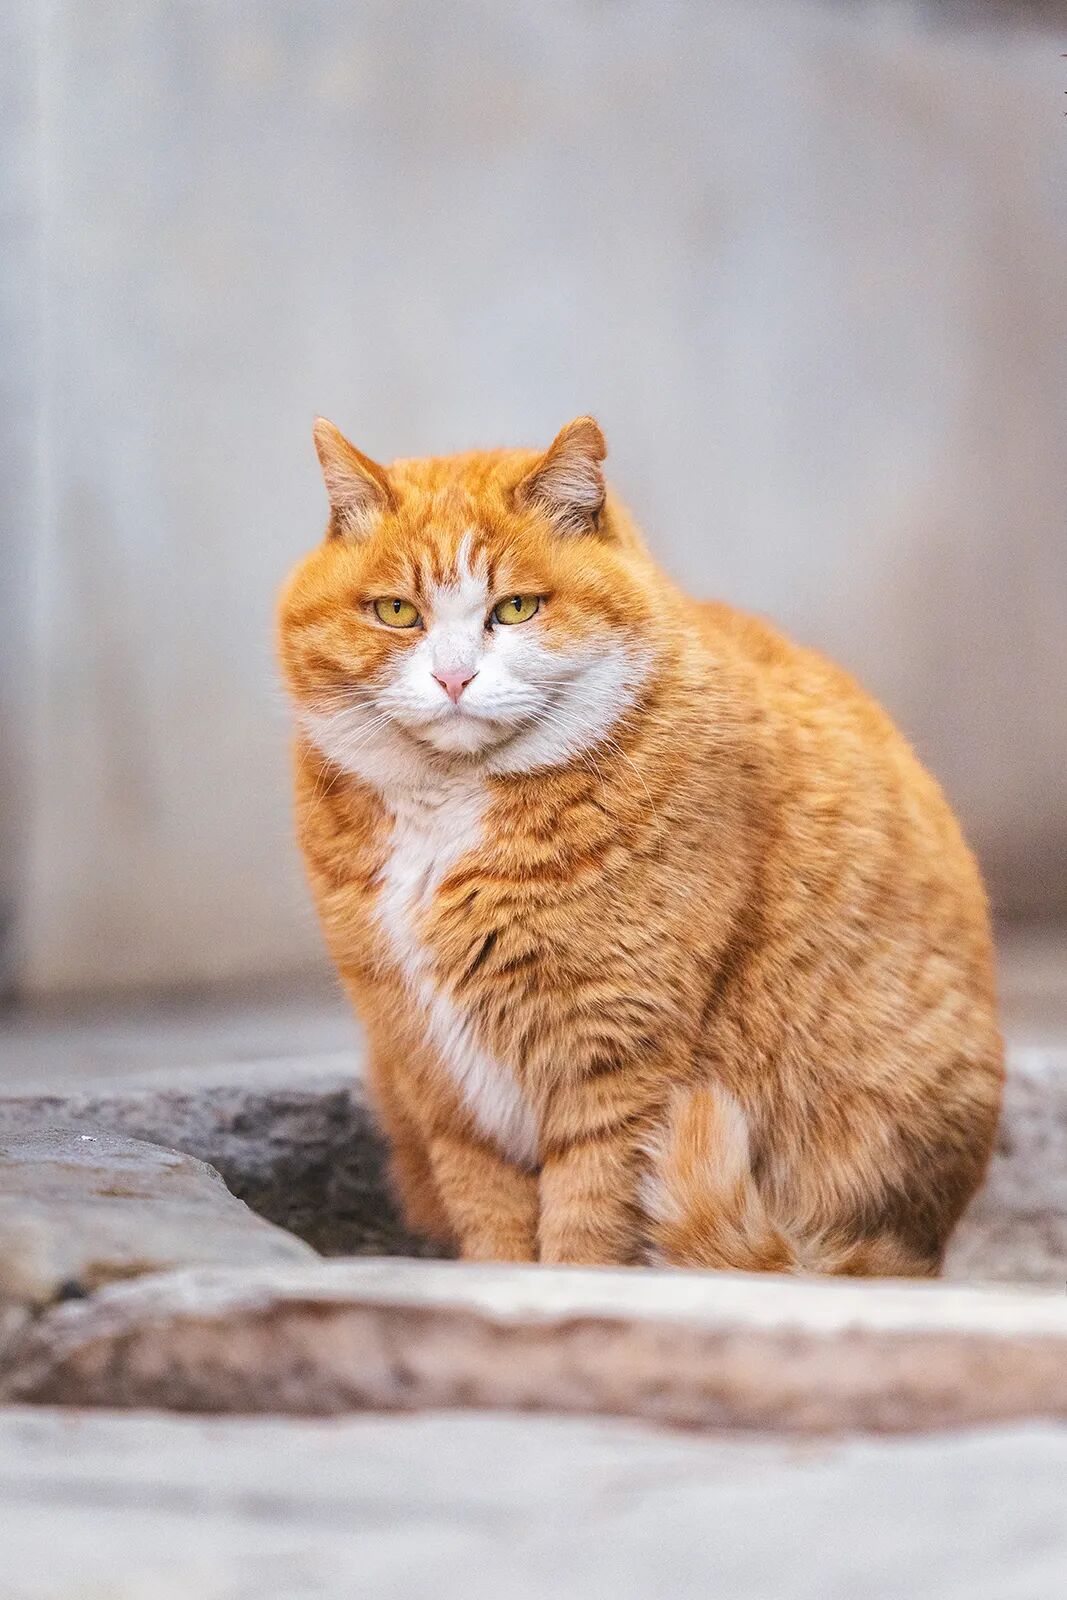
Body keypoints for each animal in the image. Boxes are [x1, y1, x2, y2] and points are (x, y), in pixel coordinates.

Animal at [278, 415, 1003, 1276]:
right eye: (395, 611)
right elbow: (487, 1210)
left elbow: (588, 1221)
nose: (453, 680)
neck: (454, 805)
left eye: (514, 609)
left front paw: (566, 1290)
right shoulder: (432, 1070)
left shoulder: (618, 1057)